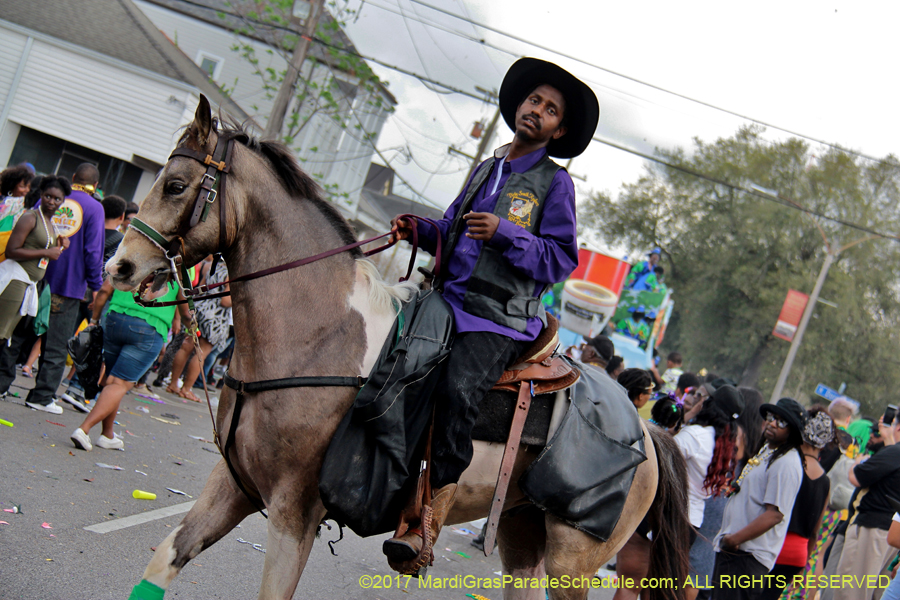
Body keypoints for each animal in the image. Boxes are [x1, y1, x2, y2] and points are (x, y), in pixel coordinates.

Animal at [107, 96, 688, 596]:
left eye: (176, 185)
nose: (120, 266)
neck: (318, 338)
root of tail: (647, 431)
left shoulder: (294, 512)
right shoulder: (232, 486)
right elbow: (162, 562)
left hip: (573, 557)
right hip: (521, 536)